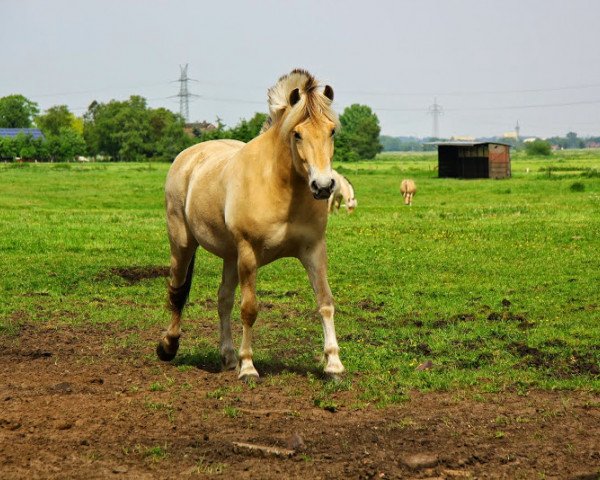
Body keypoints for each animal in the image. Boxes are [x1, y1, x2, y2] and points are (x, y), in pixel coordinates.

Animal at [157, 68, 344, 382]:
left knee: (223, 300)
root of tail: (188, 157)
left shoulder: (314, 250)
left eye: (331, 131)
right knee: (178, 290)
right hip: (183, 244)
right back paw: (169, 346)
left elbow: (325, 302)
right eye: (297, 134)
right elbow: (249, 309)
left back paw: (227, 356)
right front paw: (248, 367)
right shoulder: (248, 253)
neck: (279, 187)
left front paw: (333, 364)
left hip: (229, 256)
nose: (322, 186)